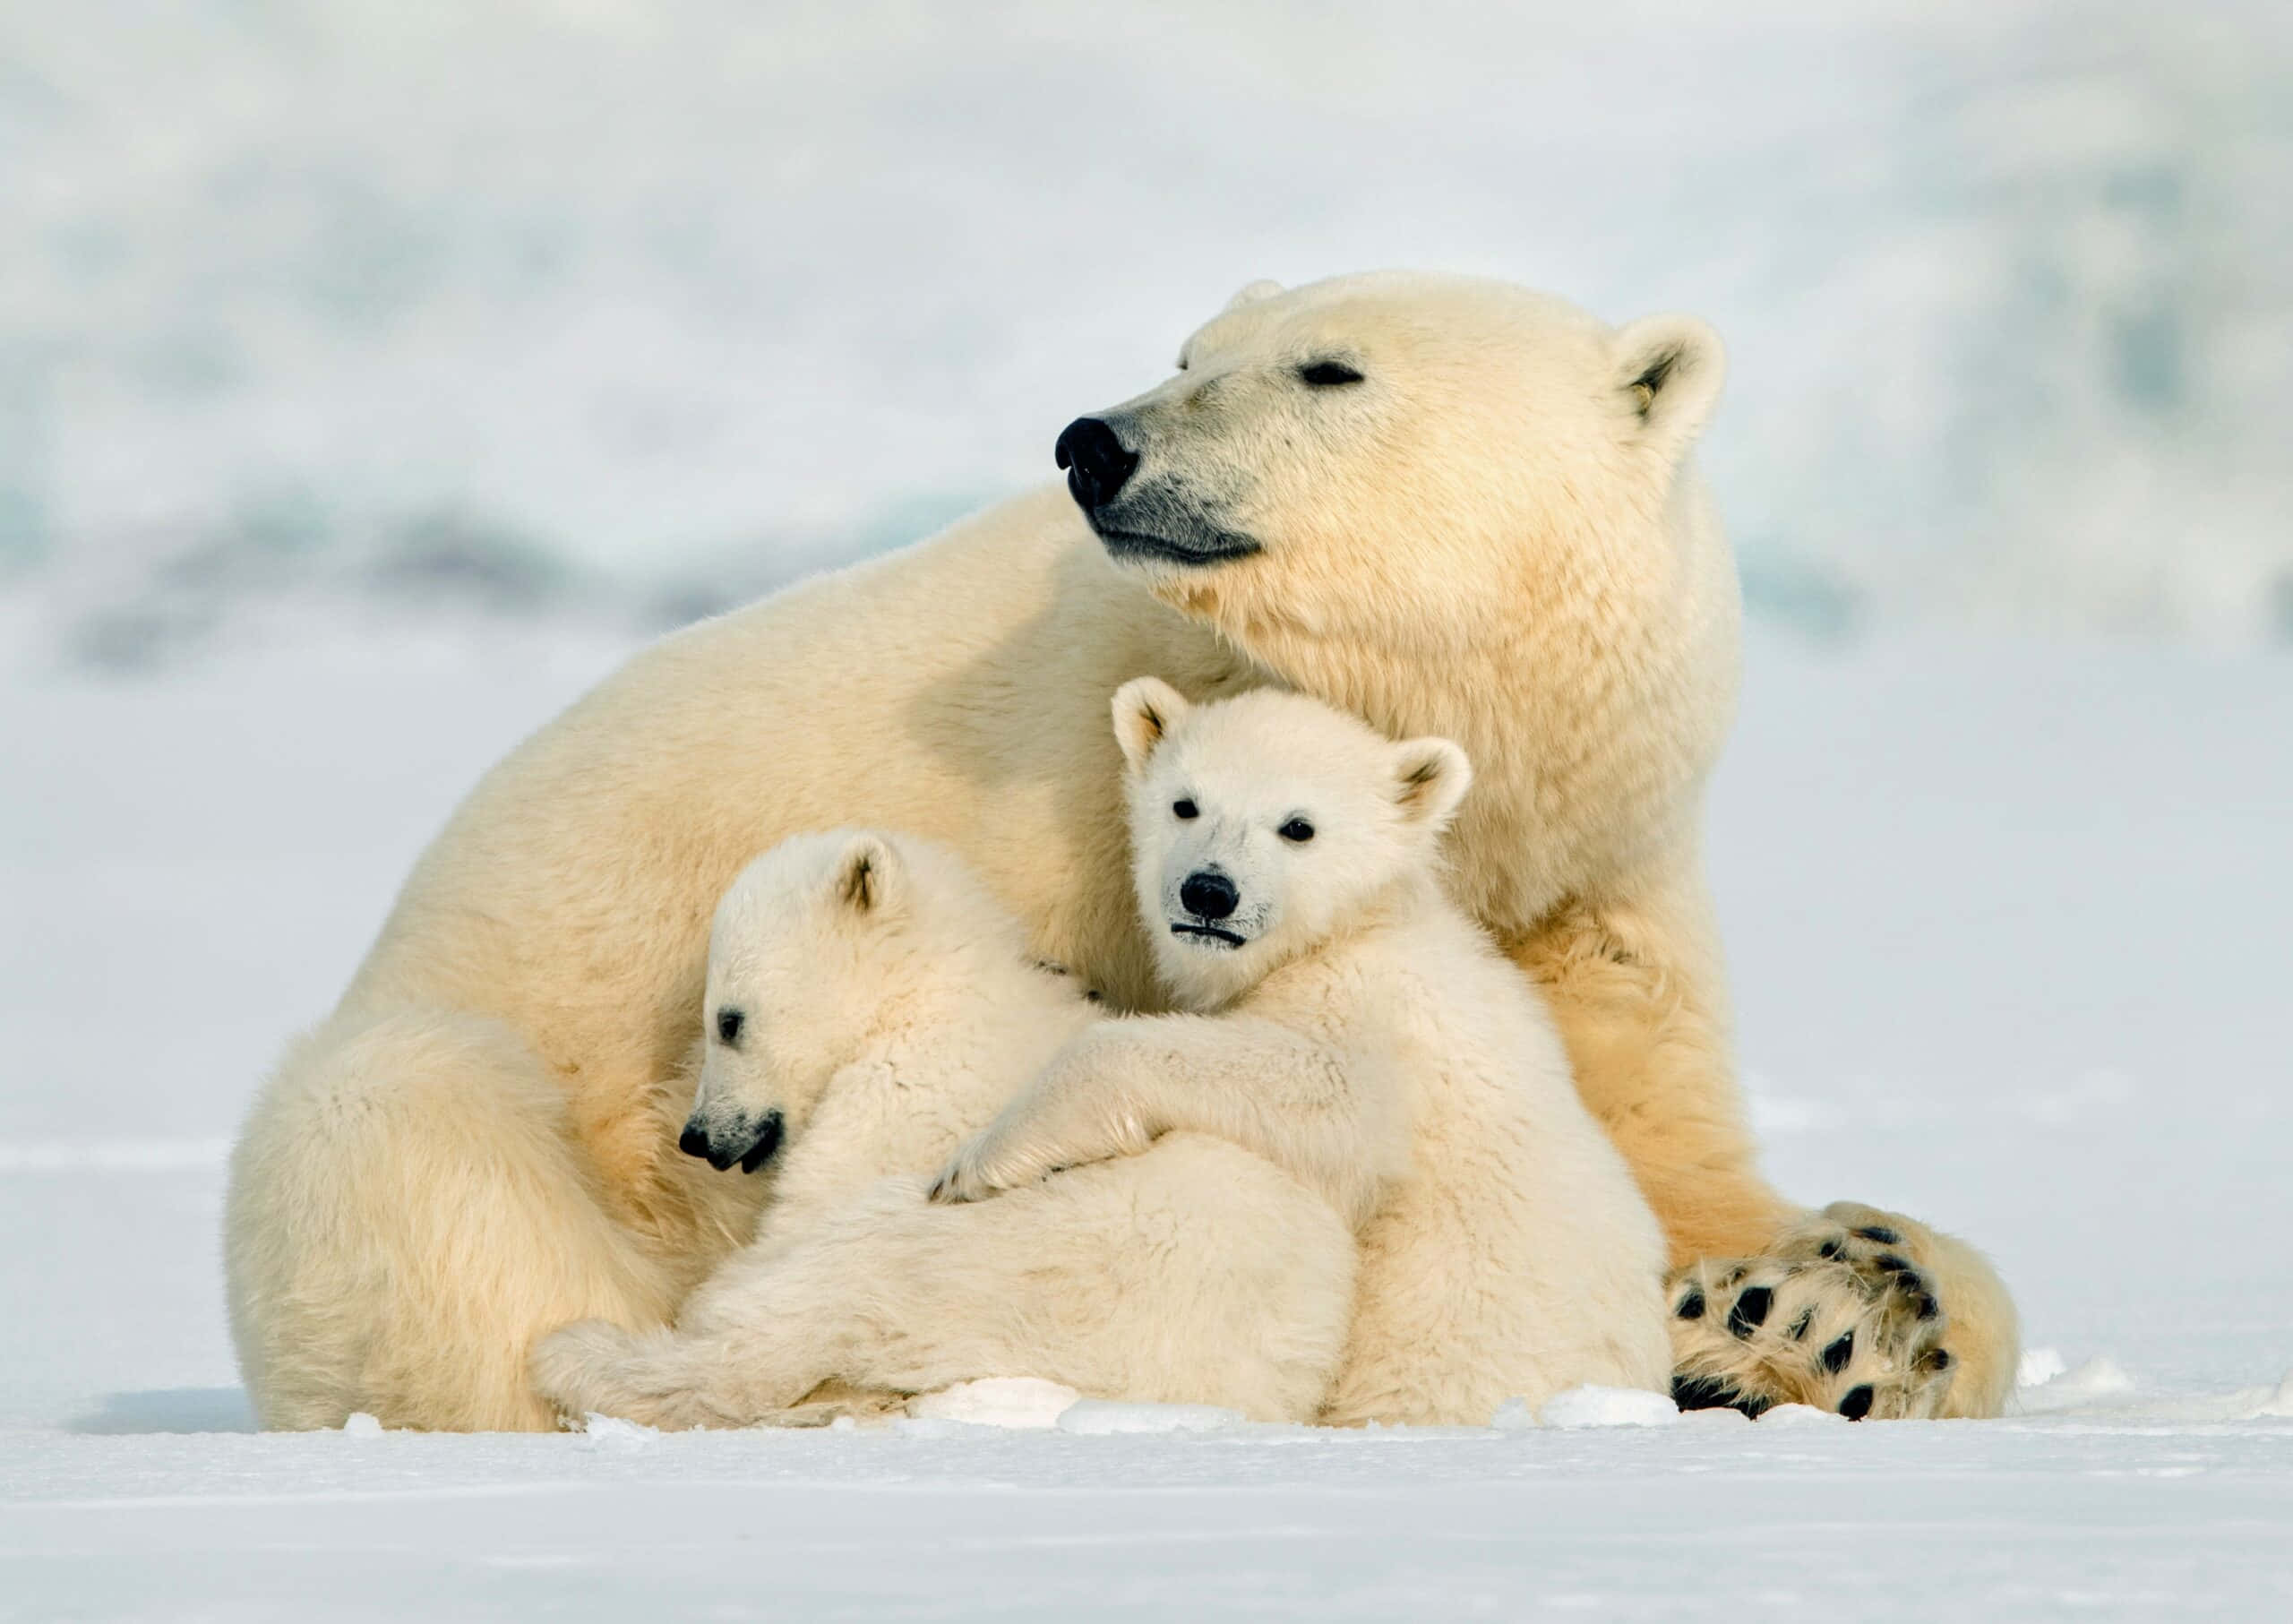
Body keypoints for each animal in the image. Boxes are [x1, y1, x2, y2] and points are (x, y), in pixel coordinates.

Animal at [529, 824, 1359, 1428]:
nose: (696, 1137)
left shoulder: (906, 1097)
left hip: (1008, 1254)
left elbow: (812, 1210)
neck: (927, 993)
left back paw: (576, 1354)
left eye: (728, 1019)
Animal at [930, 679, 1674, 1423]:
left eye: (1298, 826)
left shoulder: (1376, 1017)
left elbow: (1330, 1094)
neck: (1349, 928)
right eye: (1185, 802)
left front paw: (976, 1162)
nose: (1209, 892)